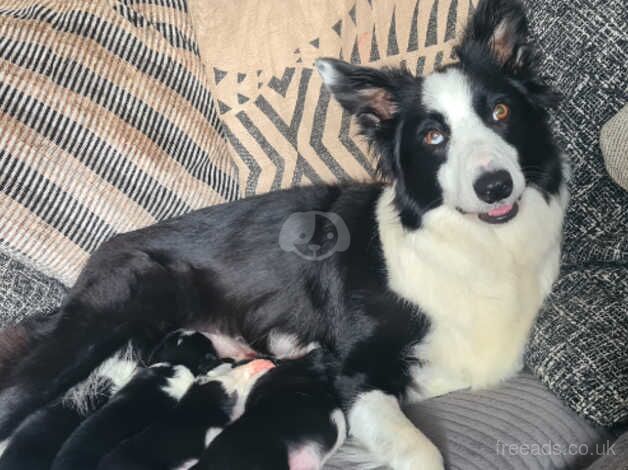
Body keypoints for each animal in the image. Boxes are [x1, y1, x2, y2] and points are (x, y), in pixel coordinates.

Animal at [0, 1, 568, 468]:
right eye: (433, 136)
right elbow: (423, 452)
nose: (495, 186)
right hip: (97, 326)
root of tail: (99, 257)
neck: (472, 247)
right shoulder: (351, 374)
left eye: (500, 111)